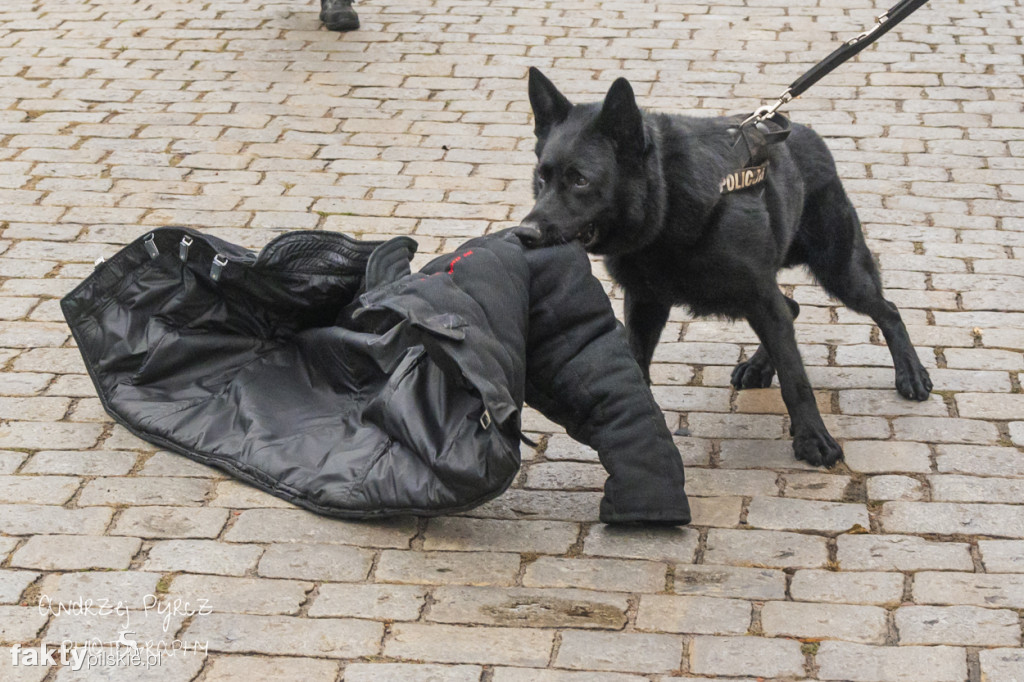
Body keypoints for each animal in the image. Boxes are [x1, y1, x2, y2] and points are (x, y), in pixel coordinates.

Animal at [516, 66, 933, 464]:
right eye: (541, 178)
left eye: (580, 181)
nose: (525, 234)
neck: (668, 201)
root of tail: (806, 133)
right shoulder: (646, 304)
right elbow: (636, 365)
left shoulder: (760, 297)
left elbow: (795, 379)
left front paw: (813, 439)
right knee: (794, 307)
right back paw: (760, 366)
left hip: (838, 270)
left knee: (887, 310)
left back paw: (910, 373)